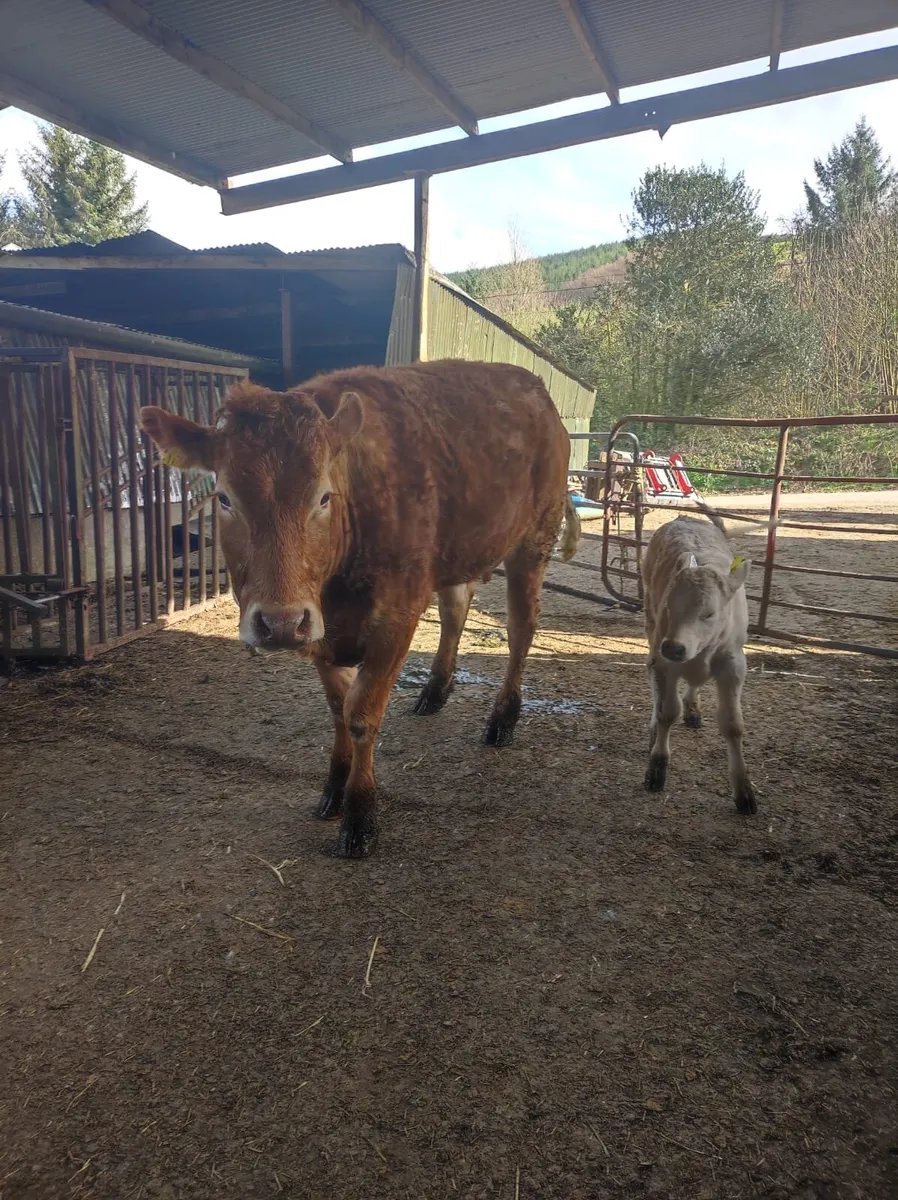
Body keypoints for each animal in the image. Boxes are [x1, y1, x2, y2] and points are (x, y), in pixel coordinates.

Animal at [139, 360, 580, 858]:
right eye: (225, 497)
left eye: (323, 496)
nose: (278, 623)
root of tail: (536, 390)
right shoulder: (319, 632)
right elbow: (337, 707)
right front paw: (334, 787)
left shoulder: (397, 618)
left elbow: (361, 714)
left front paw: (360, 813)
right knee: (456, 607)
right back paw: (436, 689)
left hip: (534, 538)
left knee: (522, 626)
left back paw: (503, 717)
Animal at [641, 506, 758, 815]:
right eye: (670, 607)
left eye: (709, 613)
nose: (674, 647)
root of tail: (683, 517)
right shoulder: (663, 660)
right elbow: (667, 711)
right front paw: (657, 768)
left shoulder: (733, 663)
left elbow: (732, 724)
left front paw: (744, 792)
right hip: (650, 621)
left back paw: (693, 707)